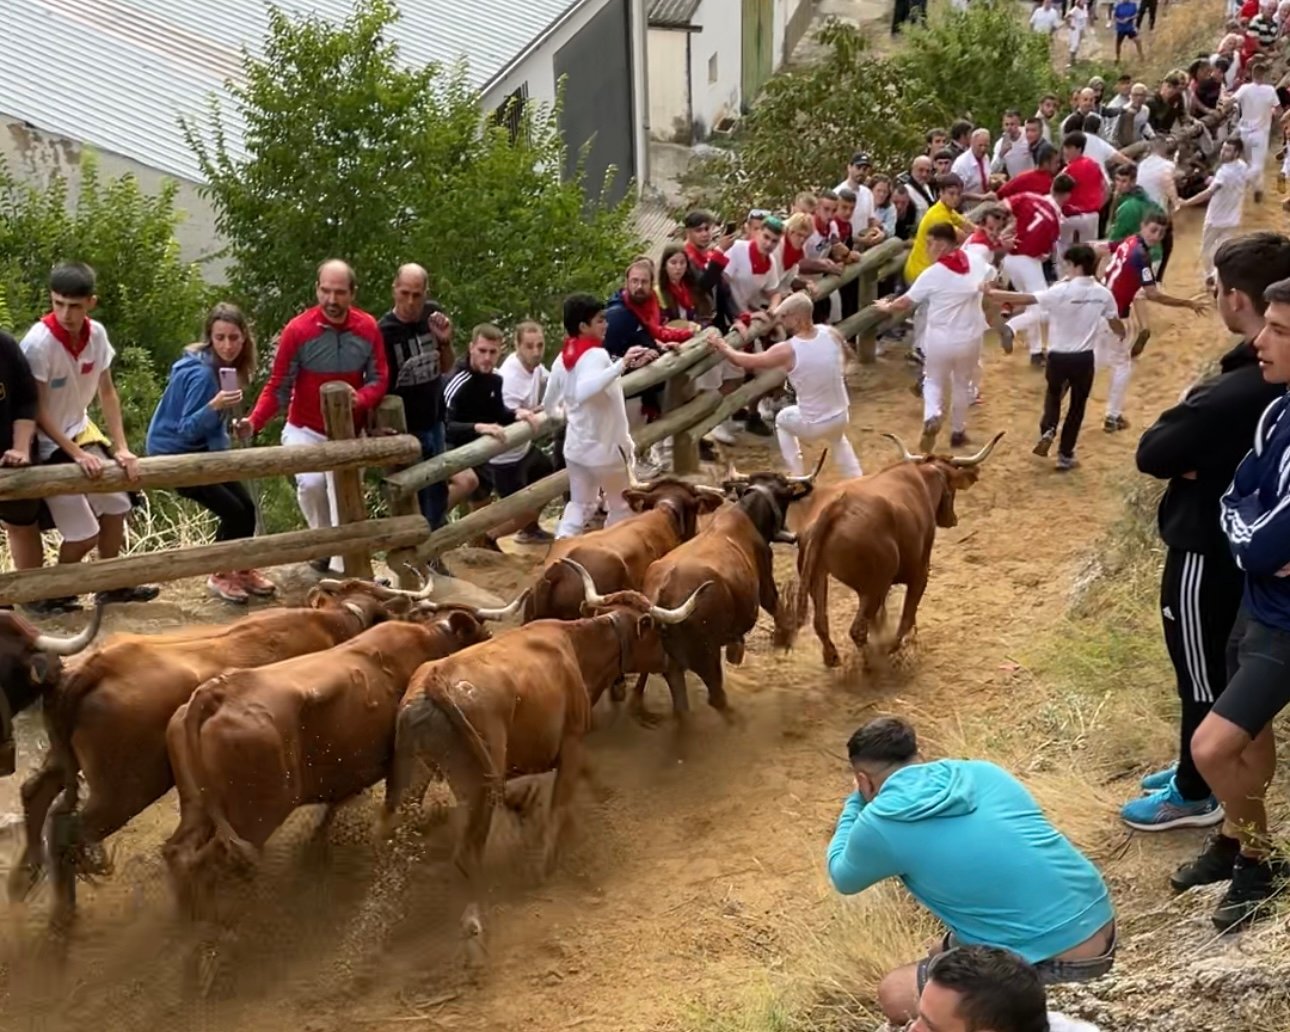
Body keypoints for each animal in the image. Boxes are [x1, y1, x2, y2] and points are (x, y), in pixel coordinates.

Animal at [11, 572, 438, 928]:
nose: (386, 579)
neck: (335, 623)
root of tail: (95, 667)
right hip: (125, 789)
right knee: (69, 828)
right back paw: (65, 914)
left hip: (66, 763)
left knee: (37, 796)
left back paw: (29, 886)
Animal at [159, 593, 518, 923]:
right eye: (481, 630)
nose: (493, 642)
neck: (431, 638)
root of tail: (217, 692)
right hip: (255, 817)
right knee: (214, 860)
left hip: (197, 806)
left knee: (180, 853)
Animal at [381, 565, 706, 949]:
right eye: (656, 630)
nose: (670, 661)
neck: (576, 647)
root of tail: (434, 680)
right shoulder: (571, 740)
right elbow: (560, 802)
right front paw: (545, 864)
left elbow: (587, 773)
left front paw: (602, 796)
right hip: (478, 789)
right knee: (467, 854)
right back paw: (475, 927)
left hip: (415, 773)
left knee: (395, 824)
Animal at [629, 459, 820, 727]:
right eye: (785, 498)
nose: (791, 534)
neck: (746, 516)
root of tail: (659, 600)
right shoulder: (765, 581)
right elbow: (777, 609)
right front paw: (785, 640)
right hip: (705, 658)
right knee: (716, 697)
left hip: (673, 666)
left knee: (682, 708)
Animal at [789, 428, 1001, 665]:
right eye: (952, 489)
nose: (951, 519)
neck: (924, 478)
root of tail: (835, 508)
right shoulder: (920, 573)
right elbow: (908, 614)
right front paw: (899, 645)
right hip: (873, 586)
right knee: (858, 630)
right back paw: (875, 660)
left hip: (819, 577)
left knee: (821, 622)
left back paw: (833, 657)